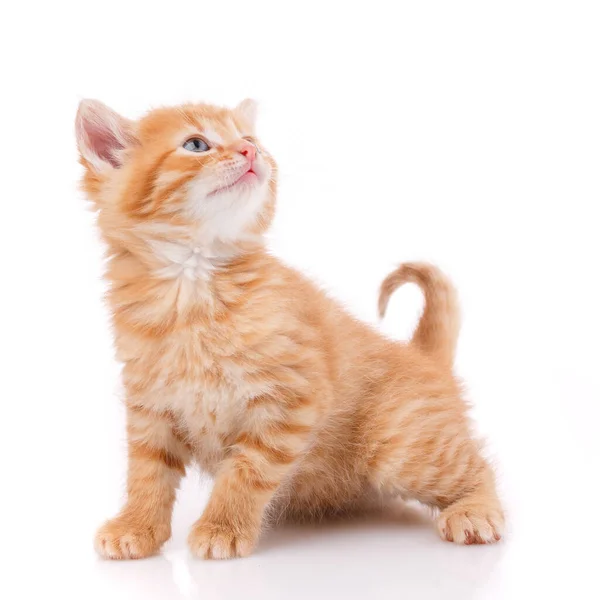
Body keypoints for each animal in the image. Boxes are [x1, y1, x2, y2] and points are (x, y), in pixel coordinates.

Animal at [77, 99, 504, 564]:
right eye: (196, 145)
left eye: (249, 139)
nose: (250, 152)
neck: (192, 285)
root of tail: (423, 356)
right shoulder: (150, 407)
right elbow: (146, 473)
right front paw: (137, 527)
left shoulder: (291, 400)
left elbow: (247, 470)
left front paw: (222, 527)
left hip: (401, 446)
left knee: (479, 467)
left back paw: (475, 512)